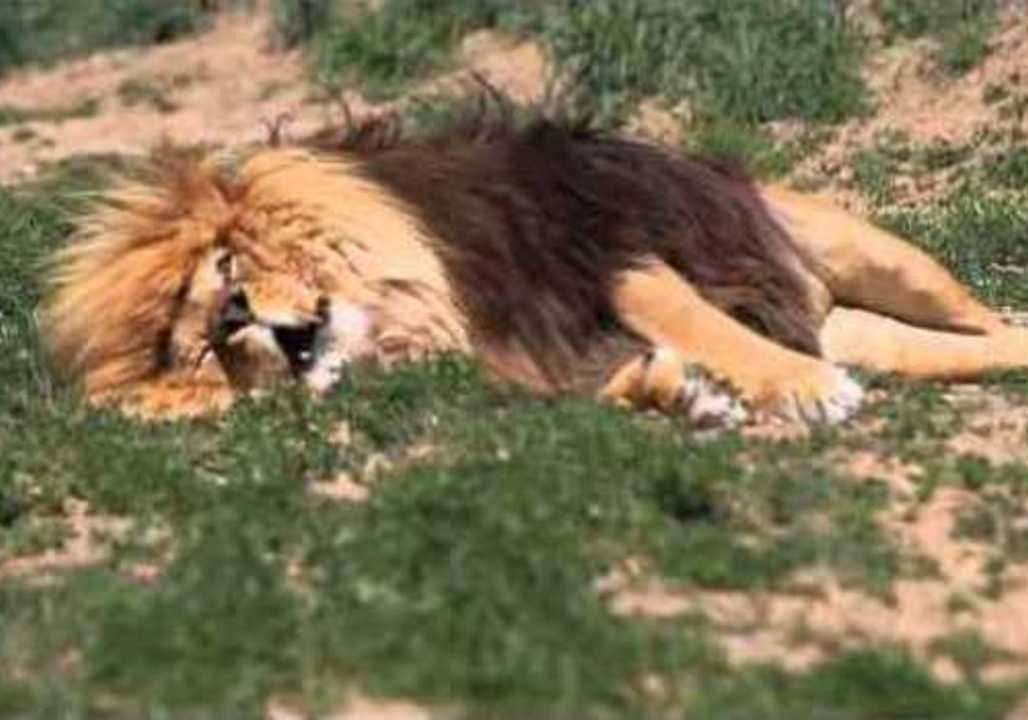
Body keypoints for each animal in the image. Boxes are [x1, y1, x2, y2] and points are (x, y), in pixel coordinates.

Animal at [41, 115, 1028, 424]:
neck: (408, 322)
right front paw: (686, 395)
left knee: (989, 317)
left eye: (229, 268)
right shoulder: (534, 359)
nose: (241, 317)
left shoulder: (608, 260)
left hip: (883, 259)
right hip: (876, 330)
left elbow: (699, 323)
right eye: (206, 346)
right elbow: (630, 378)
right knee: (972, 347)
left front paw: (803, 390)